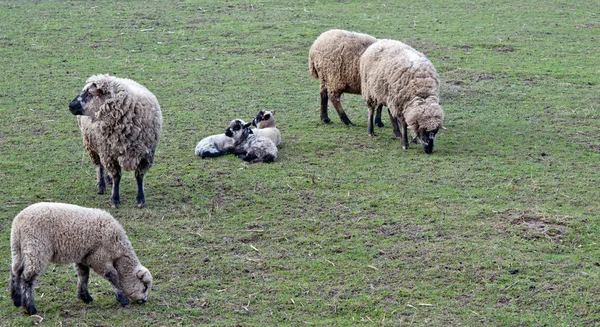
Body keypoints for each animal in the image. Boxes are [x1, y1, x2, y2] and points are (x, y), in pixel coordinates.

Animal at [9, 202, 154, 316]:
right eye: (145, 286)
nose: (144, 301)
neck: (118, 251)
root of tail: (18, 223)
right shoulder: (99, 257)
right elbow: (112, 276)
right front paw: (123, 299)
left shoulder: (84, 256)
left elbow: (83, 276)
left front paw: (85, 297)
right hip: (36, 249)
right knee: (27, 278)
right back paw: (30, 308)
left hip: (19, 249)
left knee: (16, 272)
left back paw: (16, 300)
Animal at [69, 74, 163, 208]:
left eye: (89, 93)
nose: (70, 106)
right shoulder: (110, 154)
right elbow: (117, 177)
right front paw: (115, 199)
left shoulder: (146, 154)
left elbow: (139, 176)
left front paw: (141, 199)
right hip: (92, 145)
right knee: (99, 166)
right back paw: (101, 186)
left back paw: (107, 181)